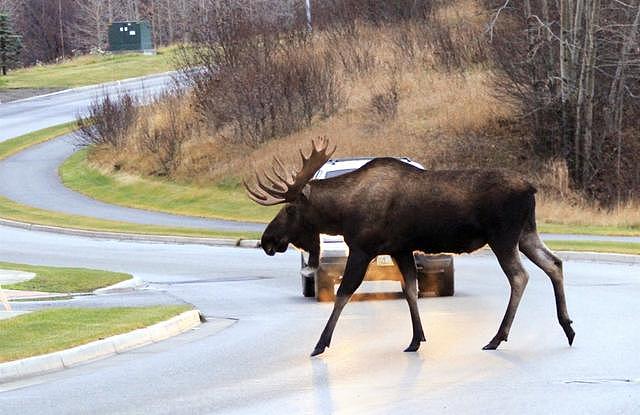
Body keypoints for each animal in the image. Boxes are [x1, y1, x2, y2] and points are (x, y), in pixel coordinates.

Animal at [245, 138, 576, 356]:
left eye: (289, 210)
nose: (267, 240)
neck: (342, 214)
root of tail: (531, 188)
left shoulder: (363, 248)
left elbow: (344, 294)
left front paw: (320, 344)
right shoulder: (400, 248)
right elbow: (411, 290)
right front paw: (416, 339)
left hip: (503, 236)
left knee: (520, 276)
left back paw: (498, 337)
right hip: (526, 232)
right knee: (554, 263)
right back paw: (568, 327)